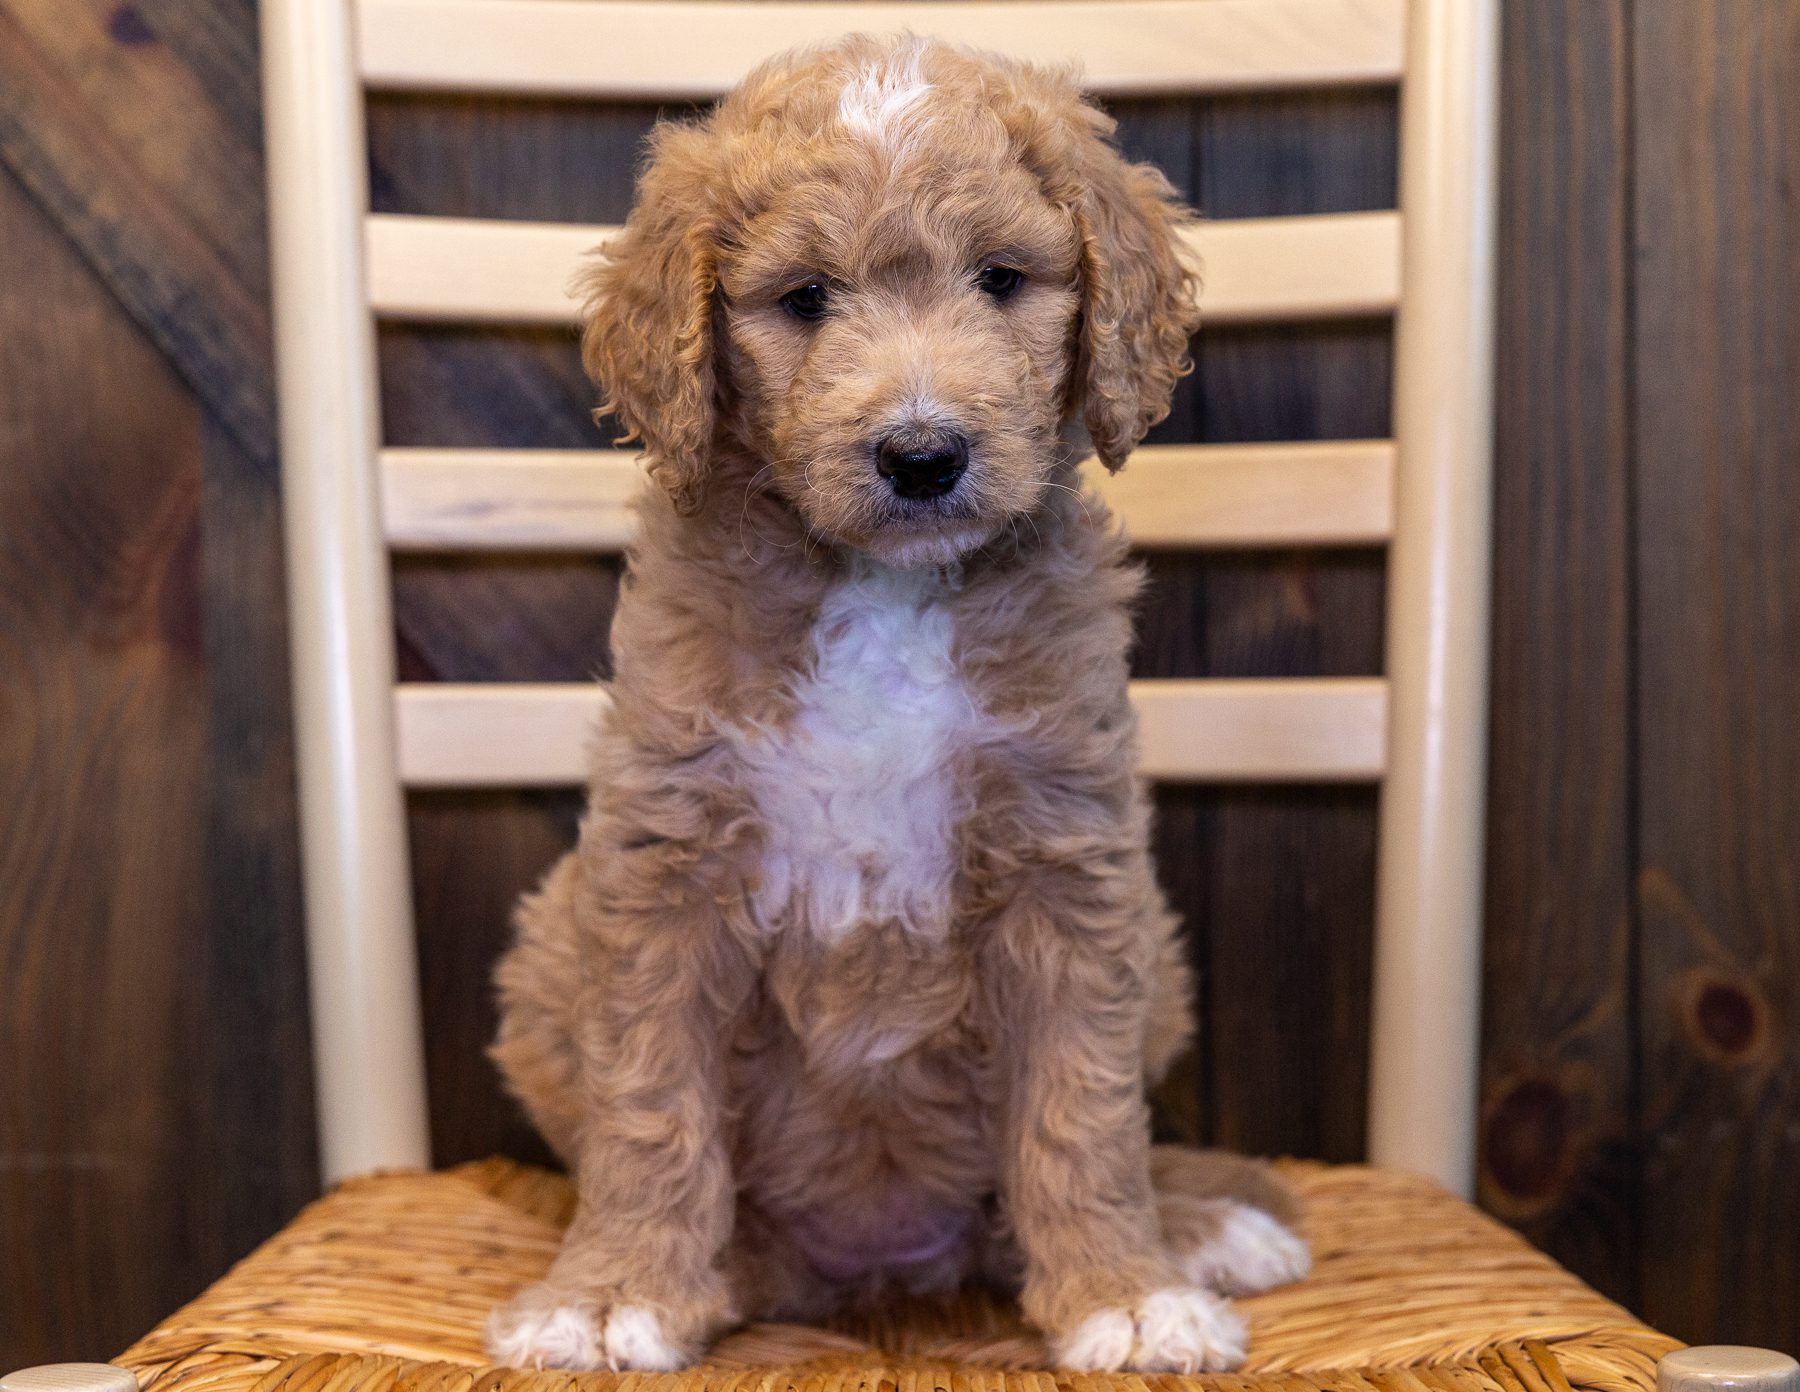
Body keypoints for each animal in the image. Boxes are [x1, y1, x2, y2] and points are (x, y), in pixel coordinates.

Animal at [489, 29, 1310, 1368]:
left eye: (1001, 279)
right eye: (804, 300)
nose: (923, 456)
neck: (883, 586)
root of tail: (883, 1269)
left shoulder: (1067, 863)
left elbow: (1082, 1112)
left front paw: (1122, 1293)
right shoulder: (664, 867)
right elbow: (649, 1105)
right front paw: (611, 1295)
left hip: (1159, 952)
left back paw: (1197, 1230)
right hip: (547, 954)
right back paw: (727, 1269)